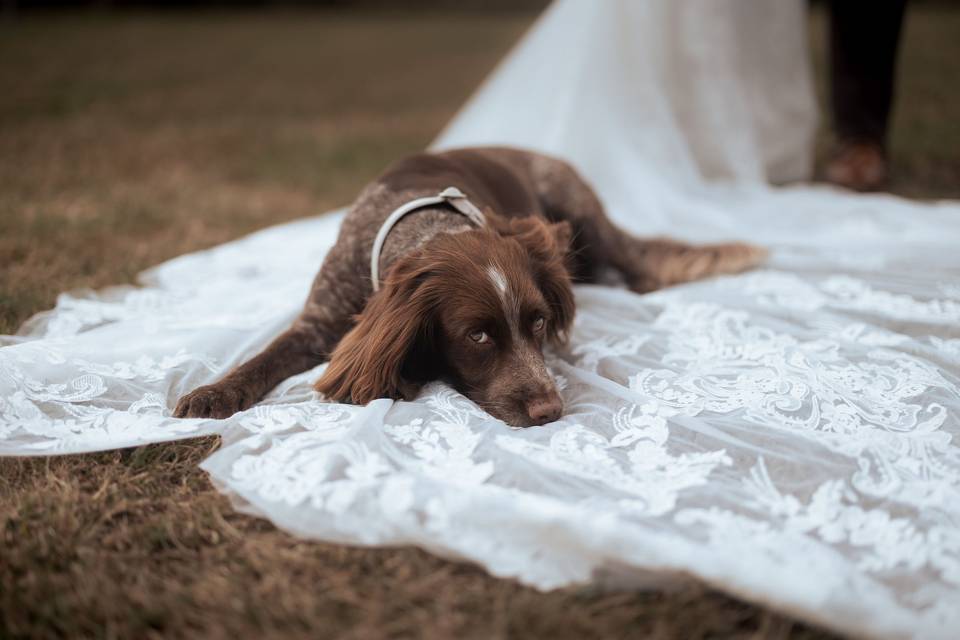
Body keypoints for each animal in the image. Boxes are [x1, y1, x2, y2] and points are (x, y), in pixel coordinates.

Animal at [174, 148, 764, 428]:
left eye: (539, 322)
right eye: (477, 337)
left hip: (578, 208)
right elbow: (263, 357)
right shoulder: (318, 320)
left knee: (639, 271)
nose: (550, 412)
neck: (428, 228)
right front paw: (214, 392)